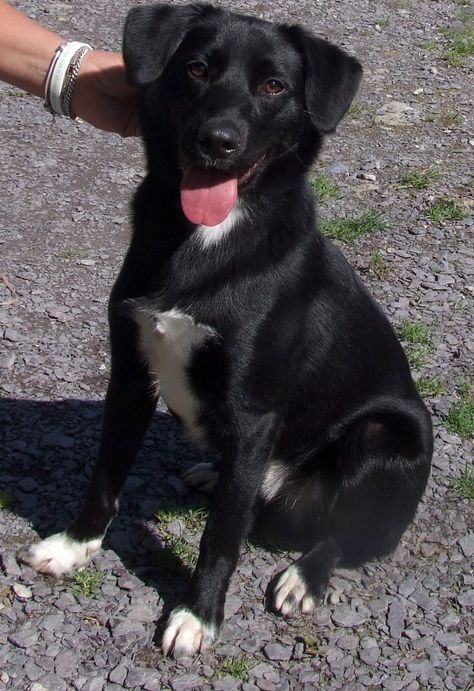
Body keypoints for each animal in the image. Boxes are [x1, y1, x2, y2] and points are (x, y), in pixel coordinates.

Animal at [22, 2, 432, 656]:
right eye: (196, 68)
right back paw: (214, 474)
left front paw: (198, 615)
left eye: (274, 87)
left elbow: (220, 537)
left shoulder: (254, 412)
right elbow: (105, 473)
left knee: (347, 536)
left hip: (386, 436)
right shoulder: (130, 376)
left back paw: (304, 577)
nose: (217, 141)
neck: (209, 238)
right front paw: (74, 545)